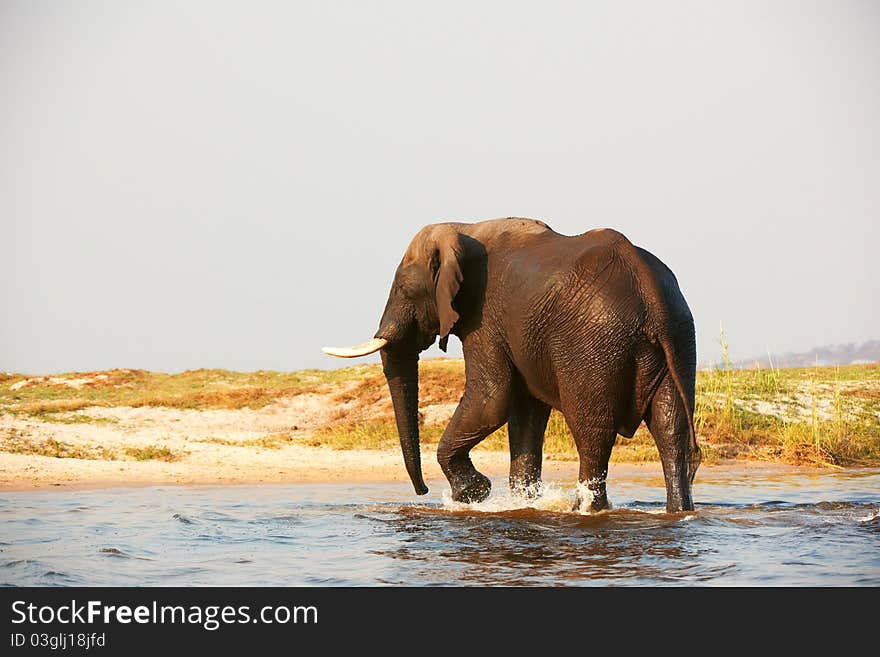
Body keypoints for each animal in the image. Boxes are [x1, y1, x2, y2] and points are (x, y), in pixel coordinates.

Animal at [324, 218, 700, 510]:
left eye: (404, 290)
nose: (423, 491)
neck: (463, 229)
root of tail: (650, 292)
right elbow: (525, 410)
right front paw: (522, 503)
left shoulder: (484, 317)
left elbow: (492, 399)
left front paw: (472, 495)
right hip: (679, 341)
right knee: (671, 430)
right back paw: (678, 510)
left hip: (594, 349)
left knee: (592, 433)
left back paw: (585, 511)